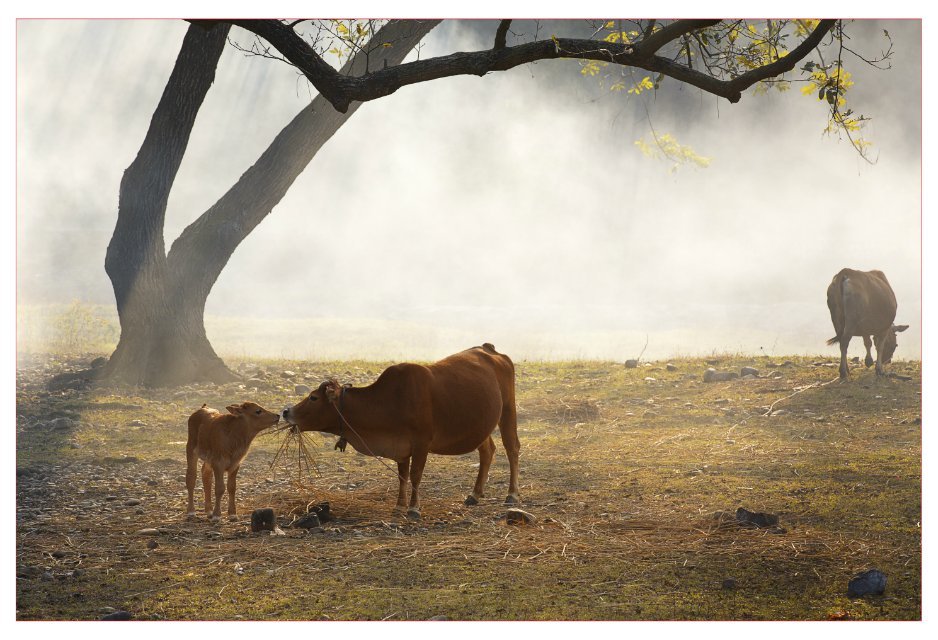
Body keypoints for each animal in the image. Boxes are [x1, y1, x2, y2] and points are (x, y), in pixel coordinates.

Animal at [282, 342, 516, 516]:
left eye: (313, 397)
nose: (286, 411)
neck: (390, 400)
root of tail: (489, 349)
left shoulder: (422, 443)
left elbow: (415, 474)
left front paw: (413, 508)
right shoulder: (401, 446)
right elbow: (402, 476)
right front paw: (399, 506)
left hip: (508, 410)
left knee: (512, 448)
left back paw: (512, 494)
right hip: (481, 426)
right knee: (487, 450)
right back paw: (475, 494)